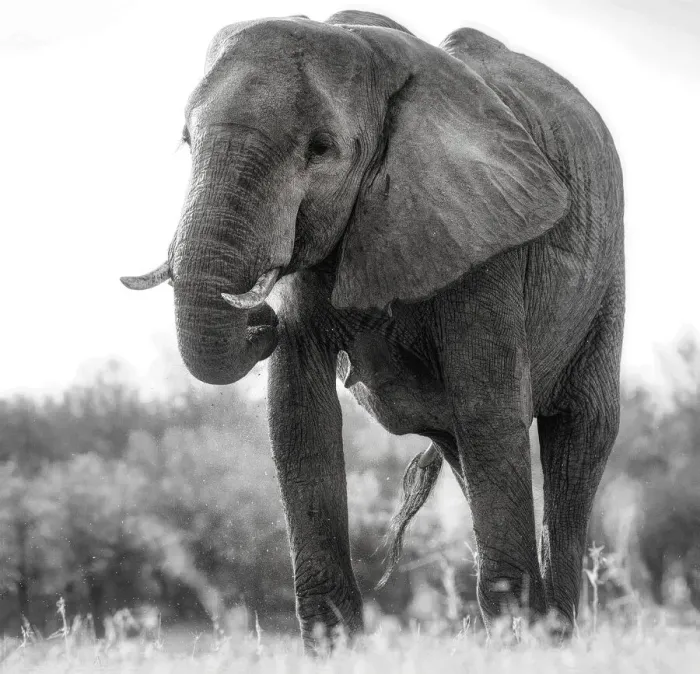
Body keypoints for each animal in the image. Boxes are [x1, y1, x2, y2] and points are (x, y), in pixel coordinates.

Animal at [122, 10, 624, 646]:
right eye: (187, 141)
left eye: (321, 148)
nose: (259, 320)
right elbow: (299, 414)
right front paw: (334, 646)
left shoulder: (488, 242)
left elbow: (490, 409)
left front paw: (519, 640)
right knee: (466, 452)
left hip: (607, 278)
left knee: (578, 434)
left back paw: (552, 635)